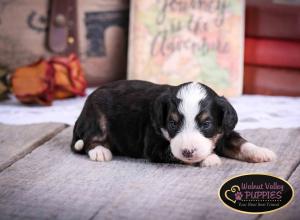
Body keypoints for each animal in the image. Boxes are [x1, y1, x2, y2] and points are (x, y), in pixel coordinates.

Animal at [71, 80, 276, 166]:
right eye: (173, 123)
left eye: (206, 124)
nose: (188, 151)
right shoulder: (154, 146)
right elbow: (174, 152)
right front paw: (209, 158)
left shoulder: (223, 131)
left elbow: (241, 143)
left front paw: (262, 152)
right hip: (97, 117)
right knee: (90, 139)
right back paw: (100, 151)